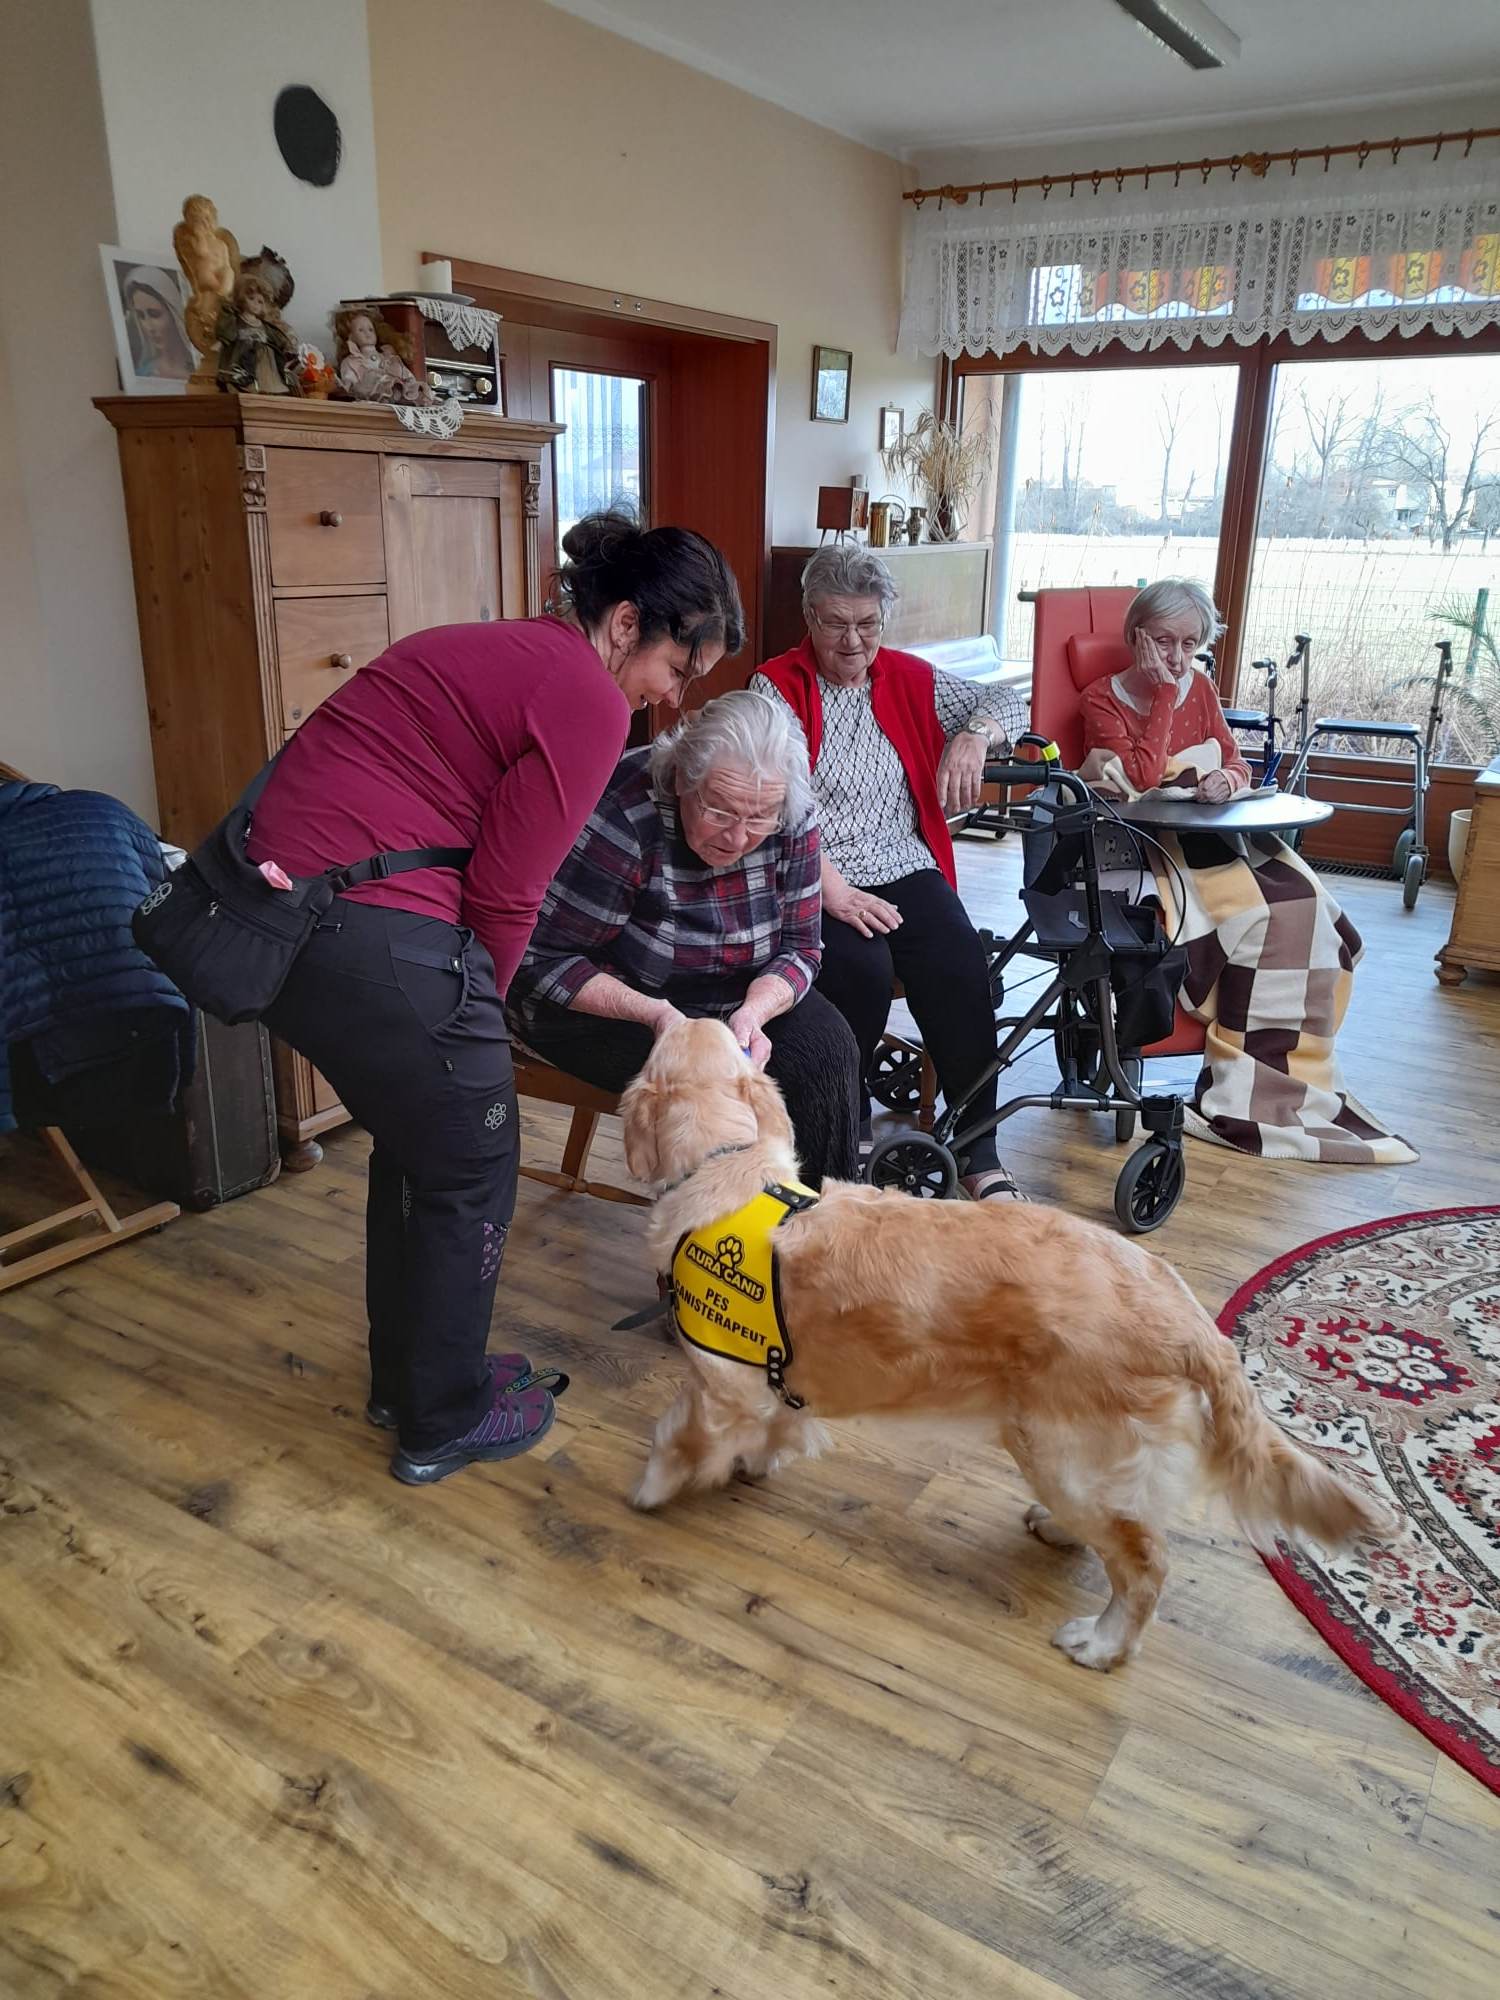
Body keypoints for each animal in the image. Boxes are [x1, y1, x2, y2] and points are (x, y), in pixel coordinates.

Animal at [618, 1017, 1389, 1672]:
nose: (669, 1011)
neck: (731, 1168)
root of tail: (1189, 1317)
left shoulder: (718, 1383)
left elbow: (676, 1437)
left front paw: (650, 1491)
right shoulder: (774, 1379)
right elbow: (778, 1423)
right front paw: (758, 1460)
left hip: (1058, 1450)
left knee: (1145, 1564)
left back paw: (1102, 1643)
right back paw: (1059, 1532)